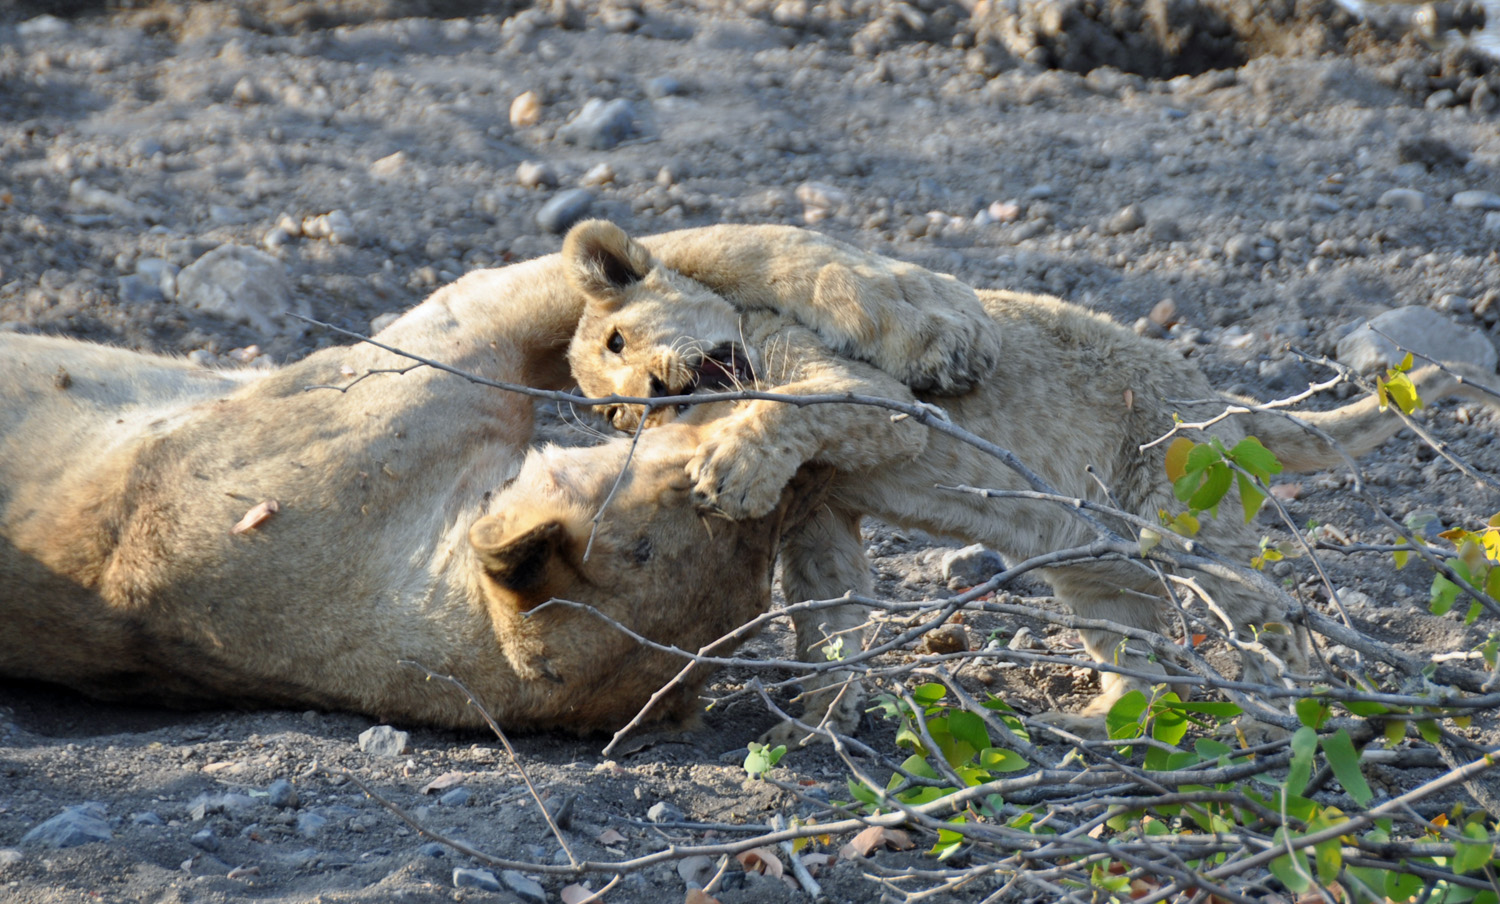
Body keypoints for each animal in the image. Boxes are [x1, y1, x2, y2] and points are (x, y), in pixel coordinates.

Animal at [0, 224, 996, 735]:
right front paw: (924, 317)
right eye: (695, 498)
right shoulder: (426, 356)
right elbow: (693, 245)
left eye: (761, 553)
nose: (662, 394)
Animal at [563, 219, 1499, 737]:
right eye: (610, 415)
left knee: (1279, 617)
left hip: (1190, 521)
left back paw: (1295, 706)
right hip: (1100, 570)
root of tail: (1227, 404)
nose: (650, 400)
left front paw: (727, 469)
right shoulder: (817, 510)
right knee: (1140, 657)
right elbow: (827, 612)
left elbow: (793, 409)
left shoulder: (879, 399)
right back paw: (1101, 726)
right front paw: (823, 720)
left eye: (618, 340)